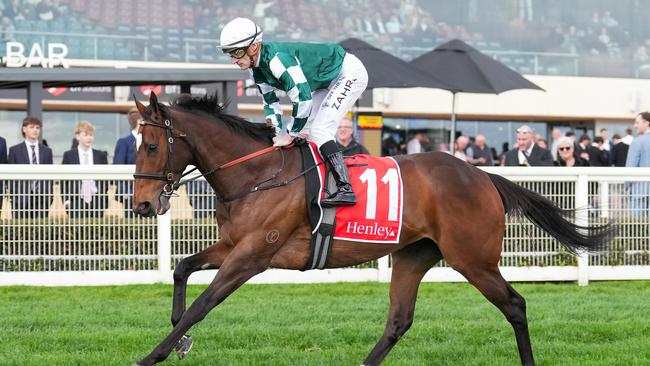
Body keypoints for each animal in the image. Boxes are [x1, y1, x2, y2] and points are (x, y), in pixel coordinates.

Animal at [130, 92, 612, 366]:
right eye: (137, 144)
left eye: (151, 145)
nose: (142, 204)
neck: (258, 173)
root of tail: (482, 175)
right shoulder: (232, 244)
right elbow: (181, 270)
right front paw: (180, 341)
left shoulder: (253, 254)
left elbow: (203, 303)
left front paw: (154, 354)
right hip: (414, 255)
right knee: (399, 320)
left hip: (473, 259)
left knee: (515, 305)